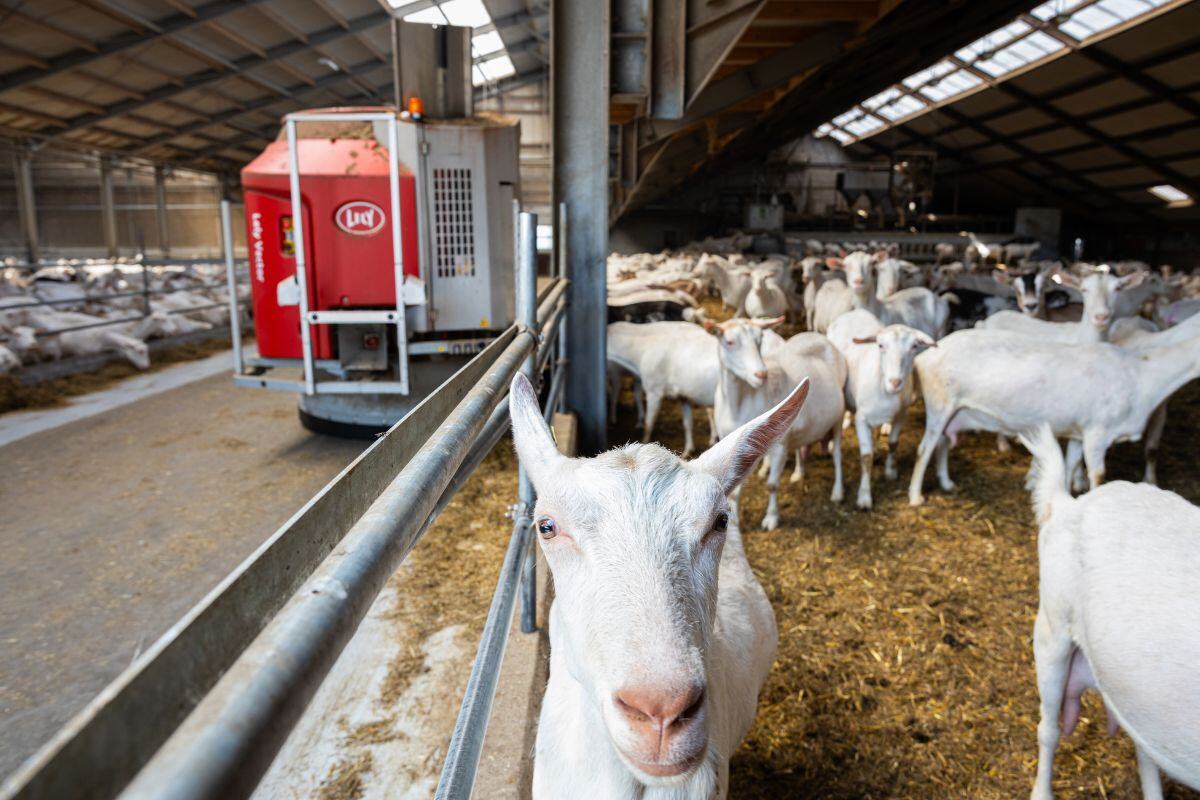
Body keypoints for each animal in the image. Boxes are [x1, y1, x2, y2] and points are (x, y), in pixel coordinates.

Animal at [825, 309, 936, 510]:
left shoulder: (901, 415)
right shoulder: (861, 419)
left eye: (914, 346)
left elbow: (893, 443)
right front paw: (864, 497)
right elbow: (866, 457)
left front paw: (890, 471)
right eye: (880, 345)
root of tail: (854, 311)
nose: (895, 382)